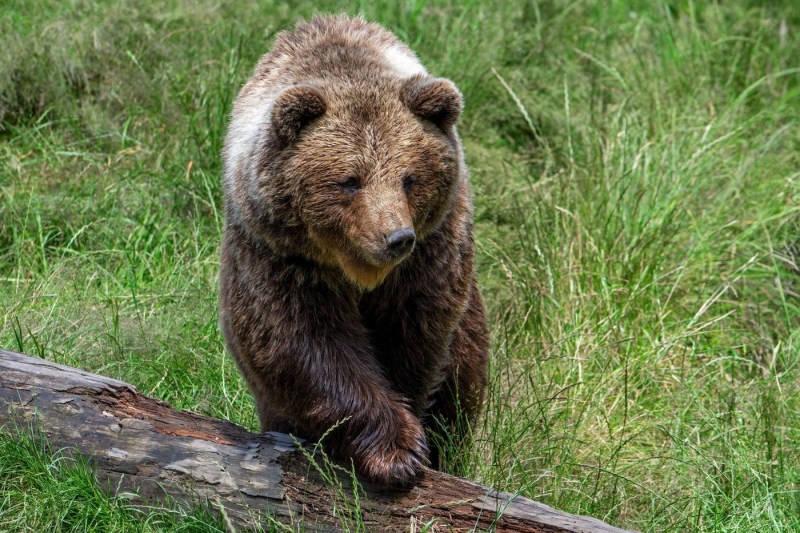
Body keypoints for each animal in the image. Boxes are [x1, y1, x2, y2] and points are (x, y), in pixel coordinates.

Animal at [222, 14, 490, 484]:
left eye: (409, 178)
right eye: (350, 180)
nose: (396, 237)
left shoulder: (431, 255)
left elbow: (415, 337)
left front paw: (413, 443)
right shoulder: (277, 255)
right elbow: (304, 342)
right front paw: (396, 450)